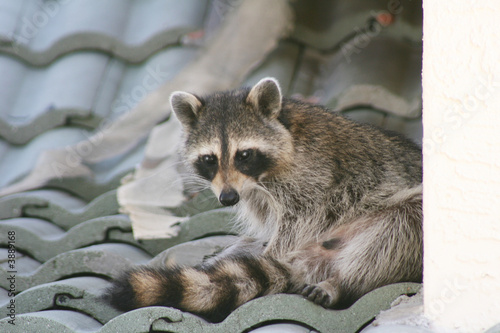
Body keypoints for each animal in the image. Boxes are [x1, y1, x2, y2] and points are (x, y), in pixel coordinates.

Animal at [104, 76, 422, 320]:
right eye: (209, 159)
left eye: (244, 155)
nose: (227, 198)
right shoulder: (254, 194)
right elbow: (266, 230)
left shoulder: (315, 178)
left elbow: (298, 224)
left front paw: (271, 256)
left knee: (401, 224)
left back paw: (340, 281)